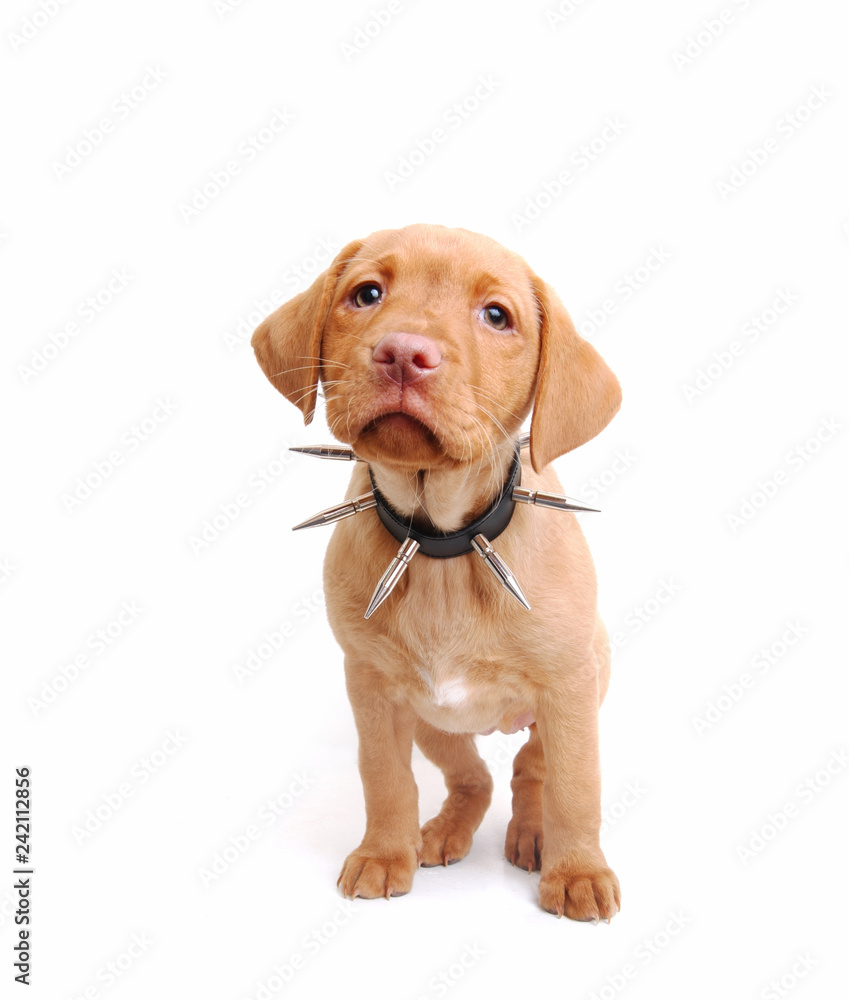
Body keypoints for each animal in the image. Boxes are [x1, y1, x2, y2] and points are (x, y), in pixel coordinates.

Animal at [252, 225, 624, 920]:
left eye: (497, 316)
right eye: (366, 294)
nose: (404, 353)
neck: (441, 543)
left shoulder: (569, 687)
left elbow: (576, 787)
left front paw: (578, 871)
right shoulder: (372, 689)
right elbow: (385, 780)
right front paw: (383, 854)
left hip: (585, 681)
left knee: (531, 767)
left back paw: (534, 836)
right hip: (434, 722)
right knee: (474, 776)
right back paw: (446, 830)